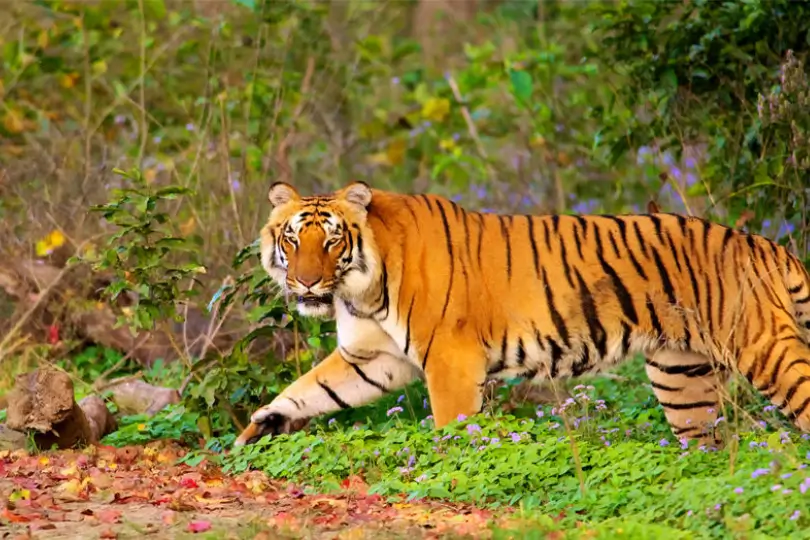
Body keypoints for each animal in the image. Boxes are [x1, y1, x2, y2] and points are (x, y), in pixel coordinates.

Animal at [233, 181, 810, 447]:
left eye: (331, 241)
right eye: (292, 239)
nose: (307, 281)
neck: (363, 289)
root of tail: (766, 246)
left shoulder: (450, 360)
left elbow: (452, 425)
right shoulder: (372, 358)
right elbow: (309, 389)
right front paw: (259, 427)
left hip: (764, 348)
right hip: (681, 378)